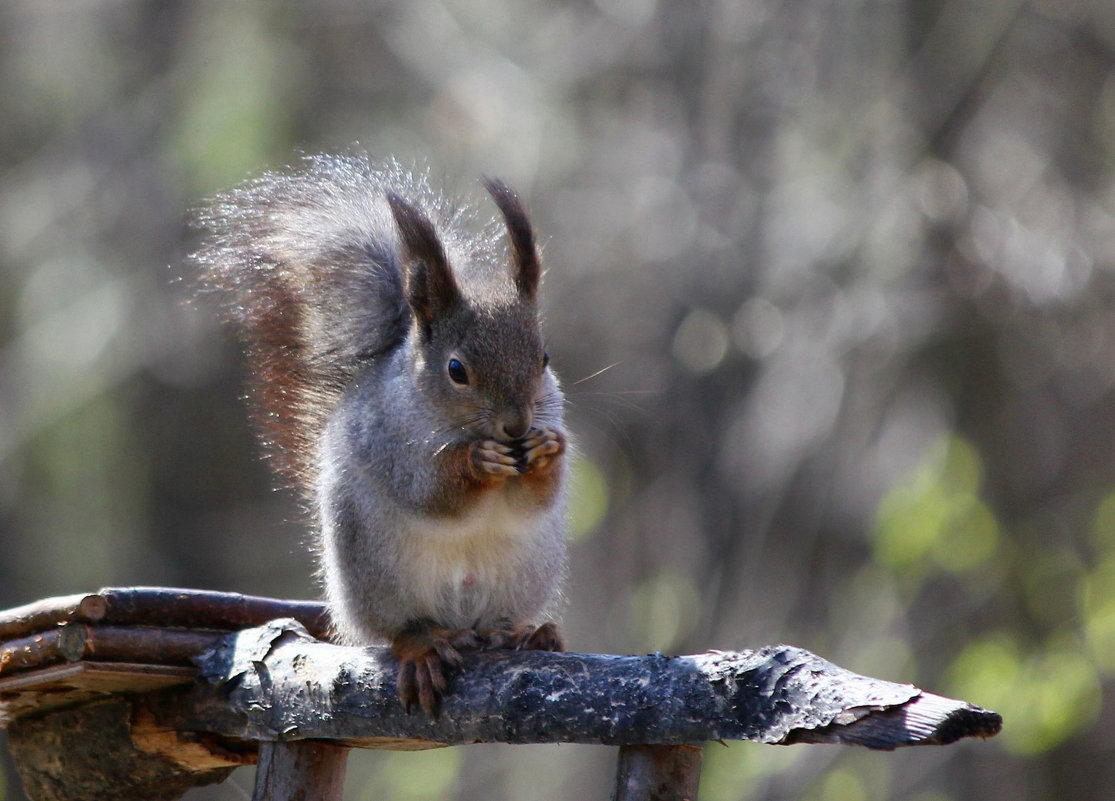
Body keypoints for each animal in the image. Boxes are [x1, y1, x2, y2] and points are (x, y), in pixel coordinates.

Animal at [189, 155, 566, 713]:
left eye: (544, 358)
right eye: (457, 369)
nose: (517, 425)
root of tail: (462, 624)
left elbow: (535, 499)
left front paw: (547, 452)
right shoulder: (387, 441)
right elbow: (431, 493)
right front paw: (478, 462)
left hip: (522, 576)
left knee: (499, 622)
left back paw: (525, 634)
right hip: (373, 575)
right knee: (398, 630)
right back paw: (424, 646)